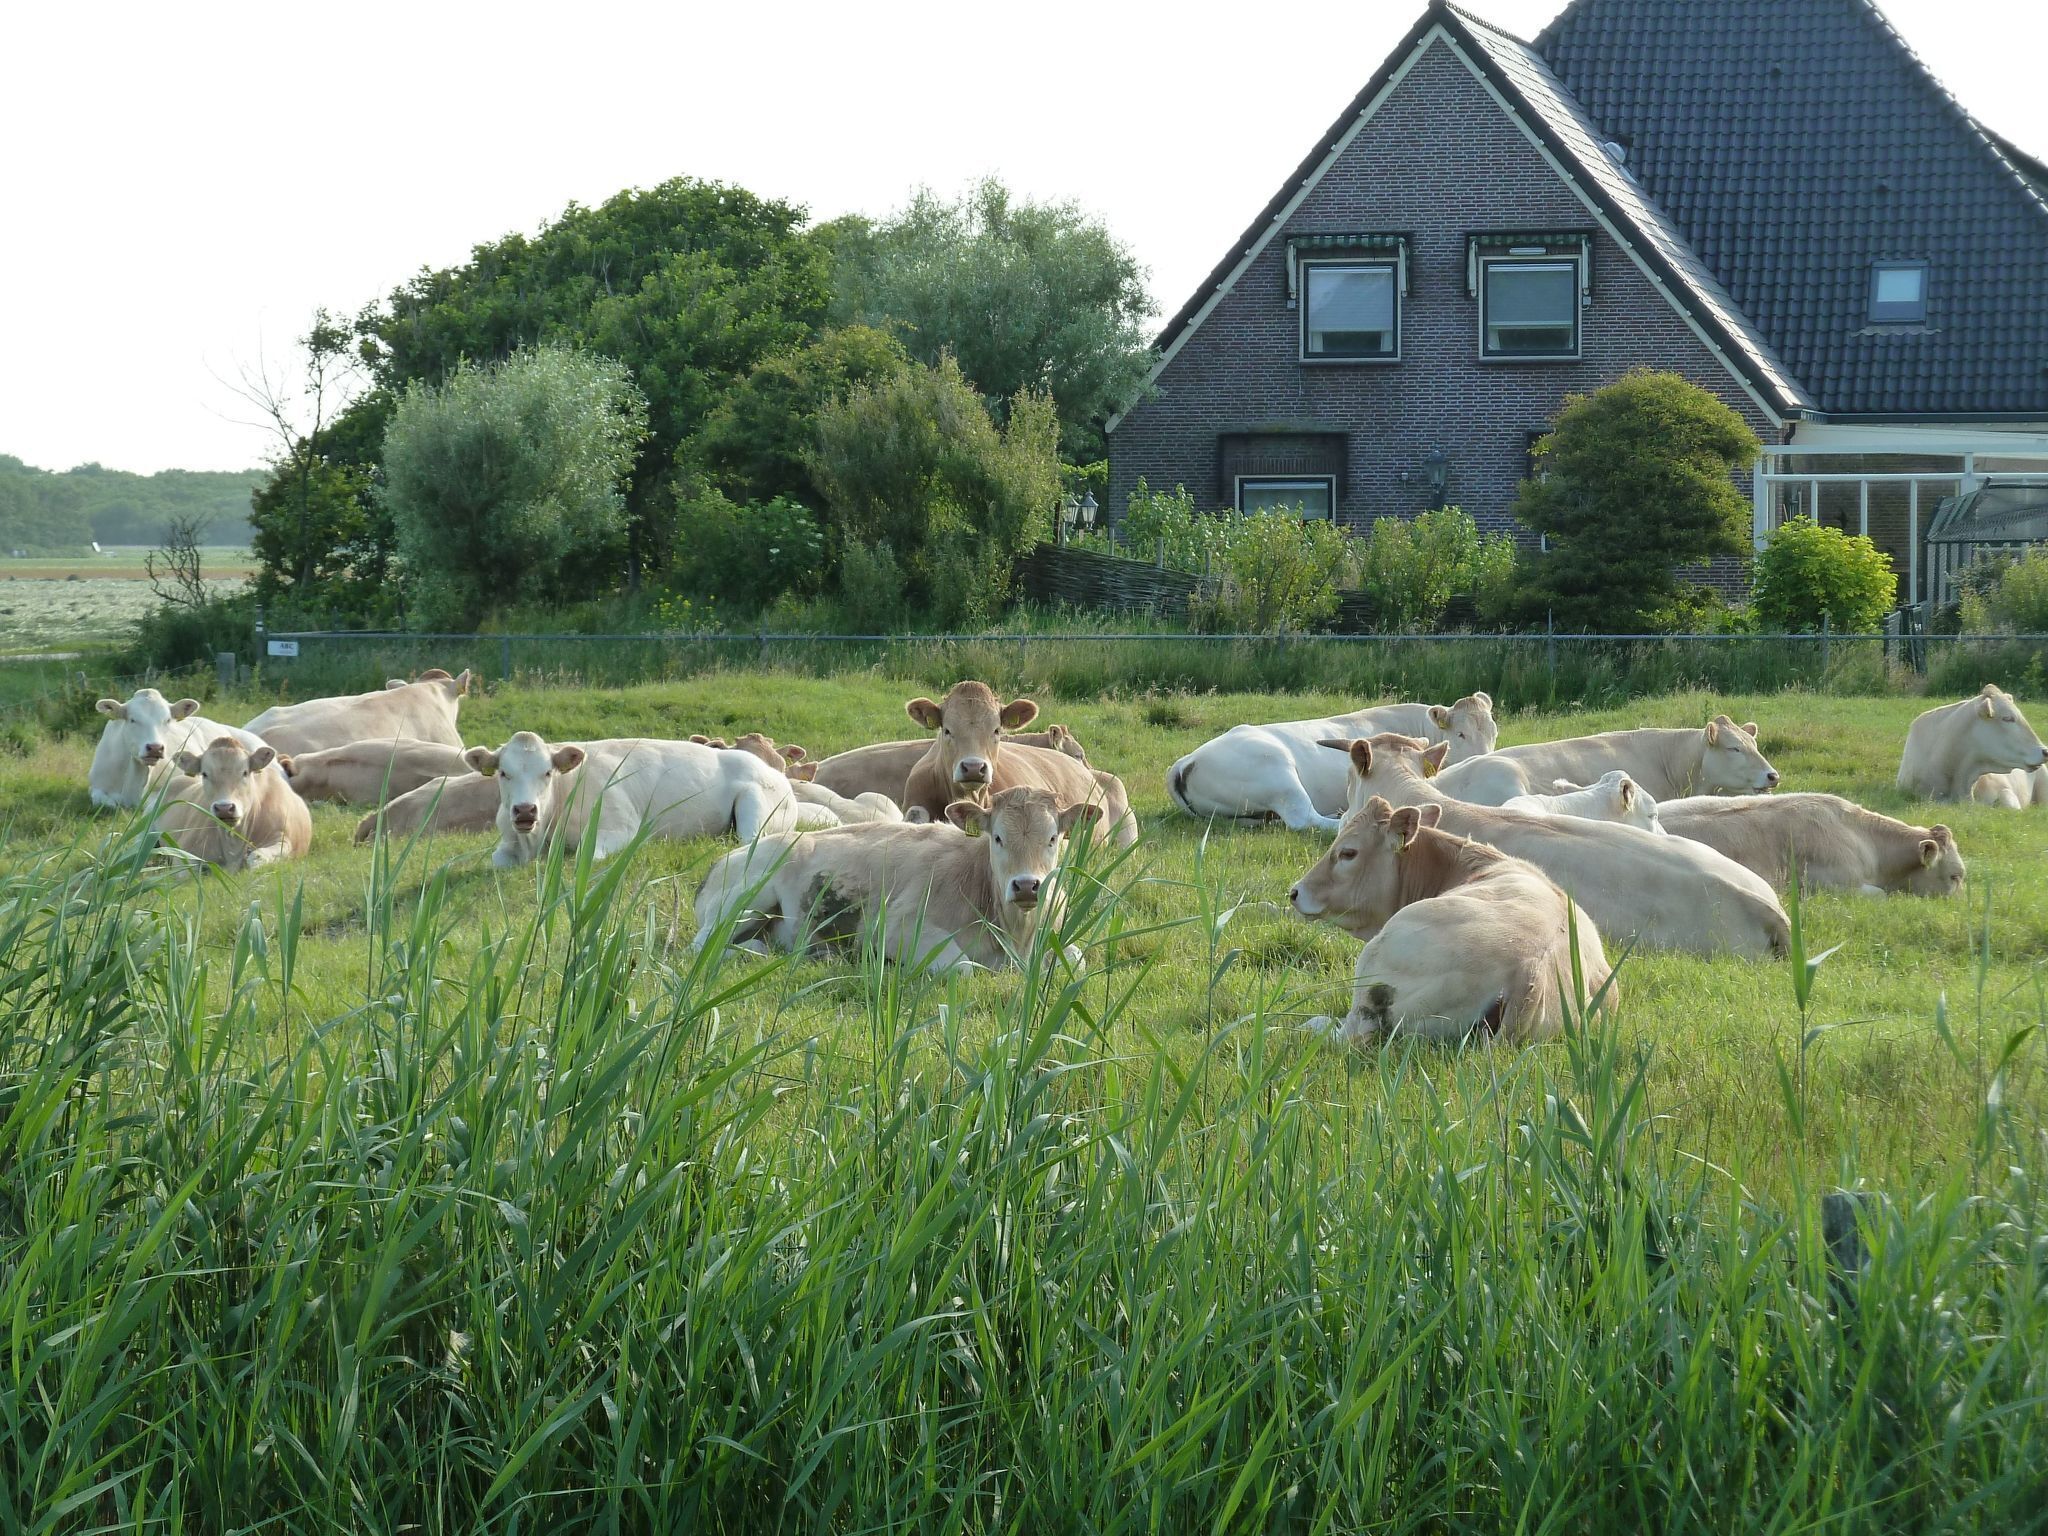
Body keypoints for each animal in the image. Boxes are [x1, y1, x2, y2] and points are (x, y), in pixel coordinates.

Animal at [156, 737, 311, 873]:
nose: (224, 808)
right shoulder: (185, 848)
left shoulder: (282, 839)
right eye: (205, 774)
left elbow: (257, 858)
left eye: (245, 772)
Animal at [463, 733, 836, 870]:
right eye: (503, 773)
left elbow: (587, 856)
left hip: (755, 812)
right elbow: (496, 860)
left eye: (547, 772)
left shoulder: (618, 828)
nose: (525, 810)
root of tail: (776, 774)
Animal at [692, 787, 1099, 974]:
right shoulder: (893, 928)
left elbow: (1077, 959)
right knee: (704, 946)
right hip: (749, 896)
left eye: (1053, 838)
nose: (1027, 885)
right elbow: (964, 967)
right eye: (997, 838)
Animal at [1165, 694, 1497, 832]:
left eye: (1494, 731)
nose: (1486, 758)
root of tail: (1186, 760)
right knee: (1305, 819)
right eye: (1461, 733)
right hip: (1279, 774)